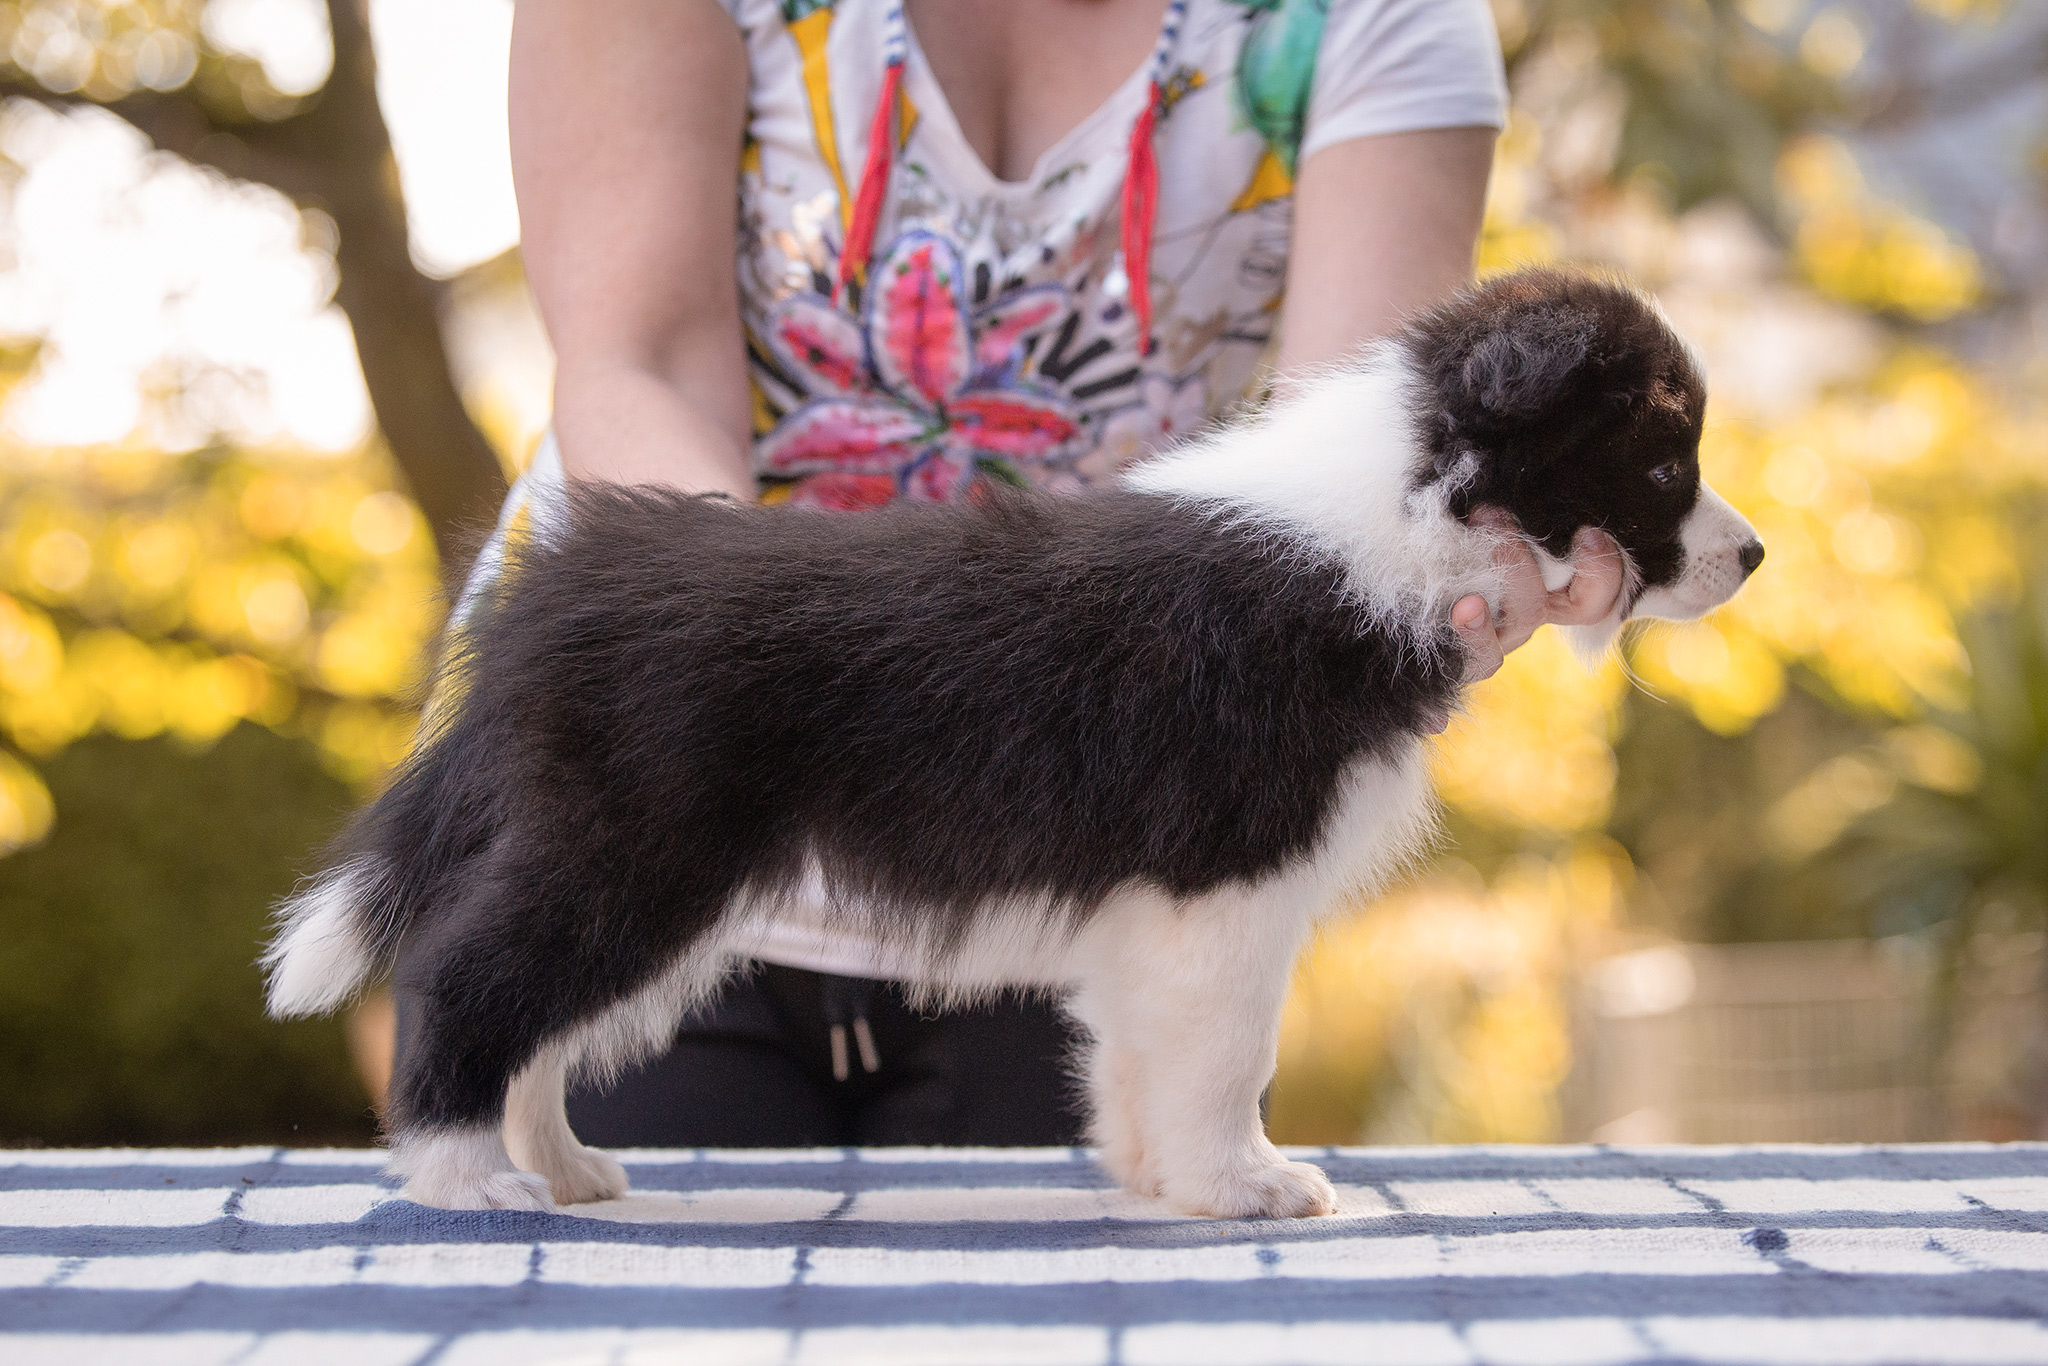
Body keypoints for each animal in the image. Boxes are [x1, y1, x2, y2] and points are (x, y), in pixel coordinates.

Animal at [260, 266, 1761, 1220]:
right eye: (1662, 464)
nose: (1751, 557)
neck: (1391, 512)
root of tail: (553, 590)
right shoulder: (1227, 878)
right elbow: (1229, 1051)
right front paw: (1246, 1186)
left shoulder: (1167, 905)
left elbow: (1147, 1051)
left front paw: (1161, 1180)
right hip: (640, 846)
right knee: (467, 982)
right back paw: (465, 1177)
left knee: (537, 1019)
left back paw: (561, 1169)